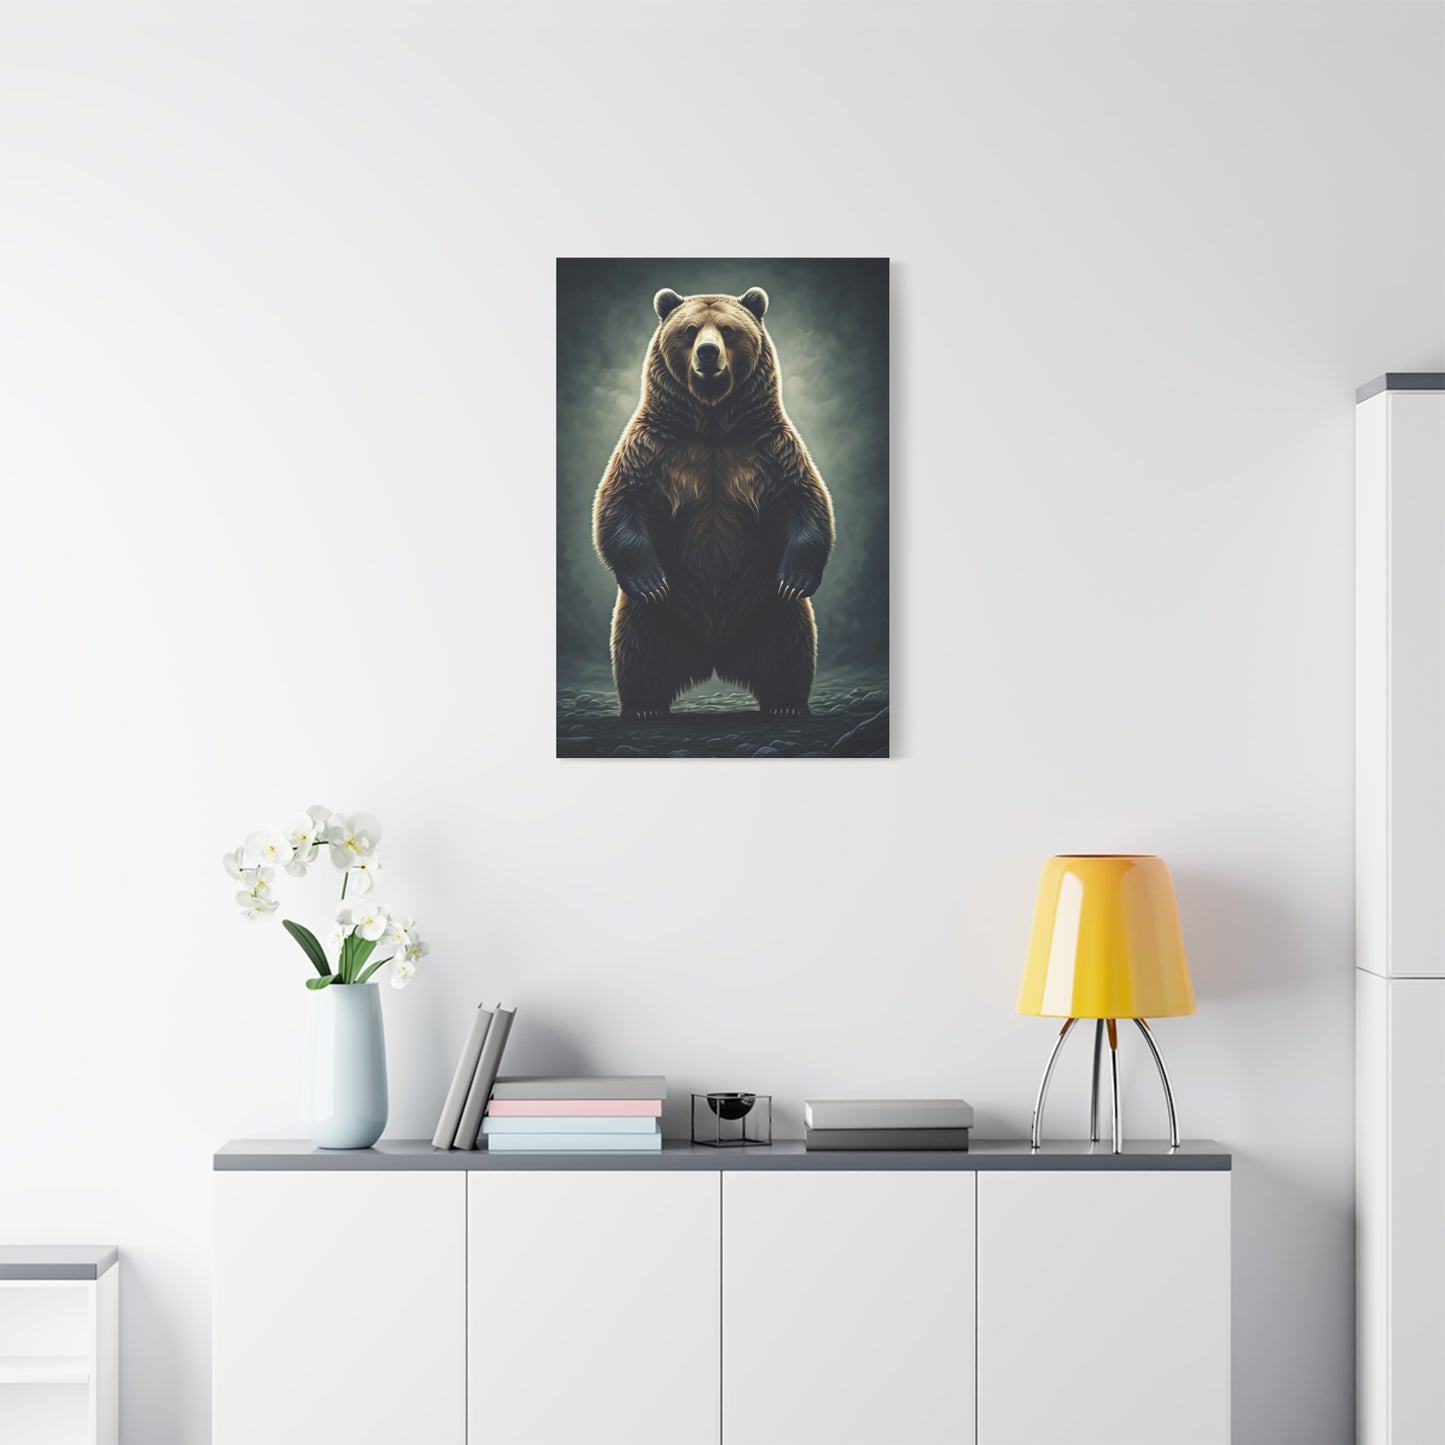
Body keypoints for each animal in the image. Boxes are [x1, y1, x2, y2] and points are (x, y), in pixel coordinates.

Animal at [592, 286, 835, 719]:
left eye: (727, 329)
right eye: (689, 330)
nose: (707, 352)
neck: (712, 422)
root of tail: (715, 658)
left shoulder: (768, 446)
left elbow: (803, 499)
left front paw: (796, 577)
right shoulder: (653, 447)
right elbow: (623, 501)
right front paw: (650, 581)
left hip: (767, 607)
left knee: (789, 647)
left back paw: (786, 703)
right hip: (657, 617)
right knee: (639, 650)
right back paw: (644, 706)